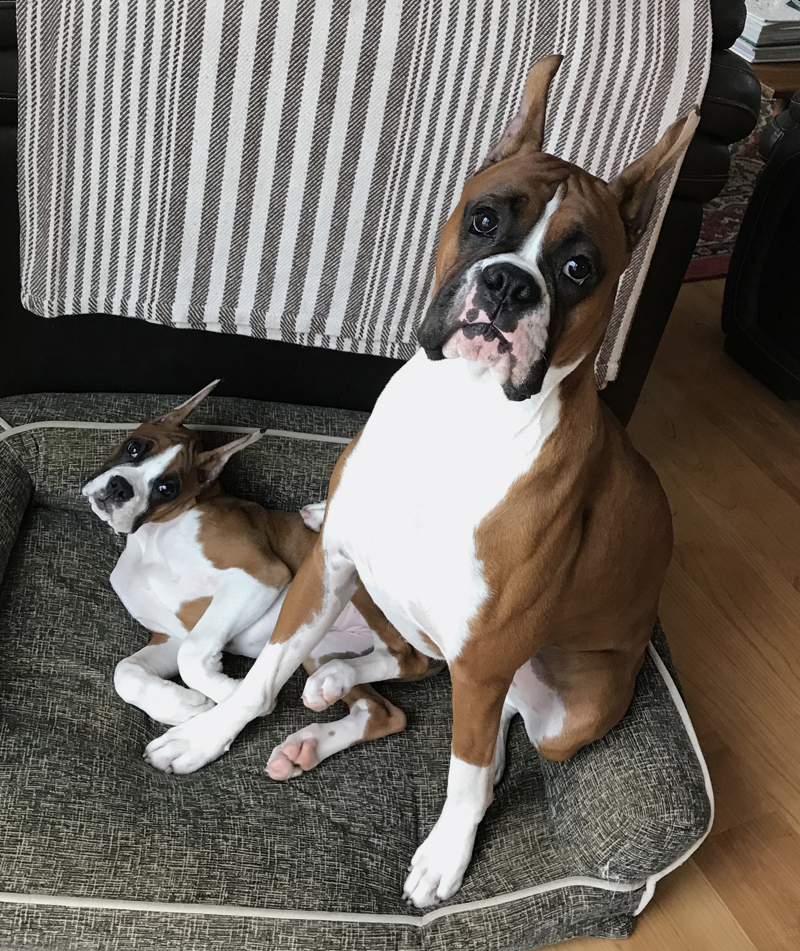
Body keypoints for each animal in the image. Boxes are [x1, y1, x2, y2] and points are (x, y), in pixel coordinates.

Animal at [142, 57, 692, 908]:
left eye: (578, 268)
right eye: (485, 219)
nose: (507, 286)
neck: (459, 413)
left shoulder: (488, 653)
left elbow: (464, 772)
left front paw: (446, 854)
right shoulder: (326, 566)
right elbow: (262, 673)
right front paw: (207, 732)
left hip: (566, 711)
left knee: (487, 741)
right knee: (422, 670)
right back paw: (332, 683)